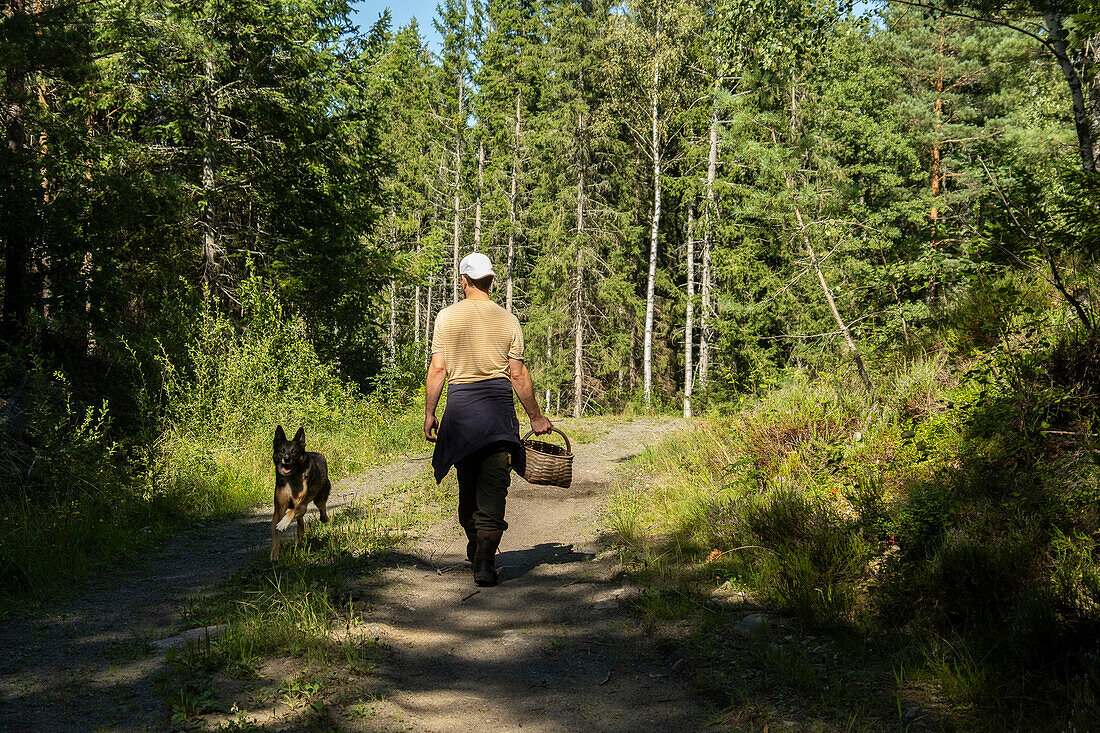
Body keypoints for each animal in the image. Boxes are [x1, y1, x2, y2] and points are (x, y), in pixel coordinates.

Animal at [270, 422, 330, 559]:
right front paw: (274, 553)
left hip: (319, 500)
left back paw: (324, 519)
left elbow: (291, 512)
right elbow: (275, 533)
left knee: (322, 510)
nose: (286, 459)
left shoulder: (302, 505)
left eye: (294, 452)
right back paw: (300, 541)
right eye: (282, 451)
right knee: (300, 525)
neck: (290, 478)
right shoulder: (278, 510)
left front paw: (283, 523)